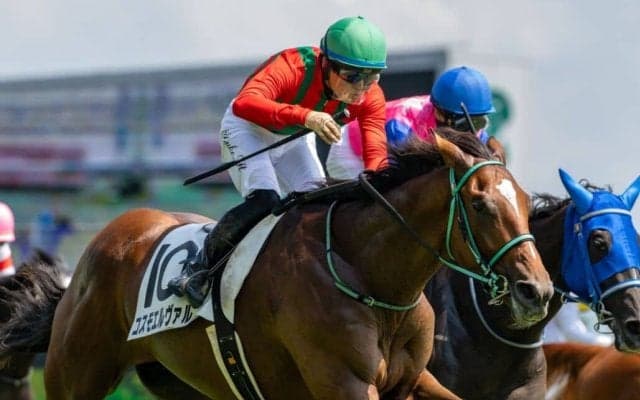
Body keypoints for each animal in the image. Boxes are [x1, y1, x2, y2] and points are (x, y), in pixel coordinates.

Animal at [0, 131, 553, 399]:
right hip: (77, 375)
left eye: (528, 203)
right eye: (480, 205)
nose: (538, 292)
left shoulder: (413, 381)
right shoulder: (344, 383)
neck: (371, 279)